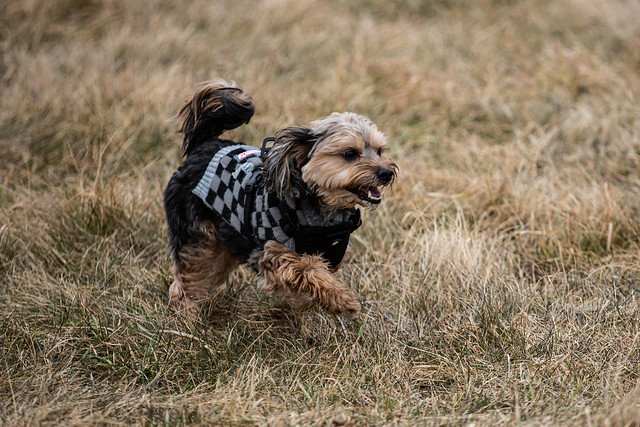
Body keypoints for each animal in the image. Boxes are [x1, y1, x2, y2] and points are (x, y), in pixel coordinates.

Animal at [162, 80, 398, 320]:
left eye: (379, 151)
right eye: (349, 154)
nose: (387, 173)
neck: (322, 214)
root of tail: (202, 146)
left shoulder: (333, 253)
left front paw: (308, 301)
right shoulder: (271, 254)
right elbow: (306, 267)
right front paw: (342, 300)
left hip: (226, 244)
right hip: (196, 234)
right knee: (188, 280)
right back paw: (188, 317)